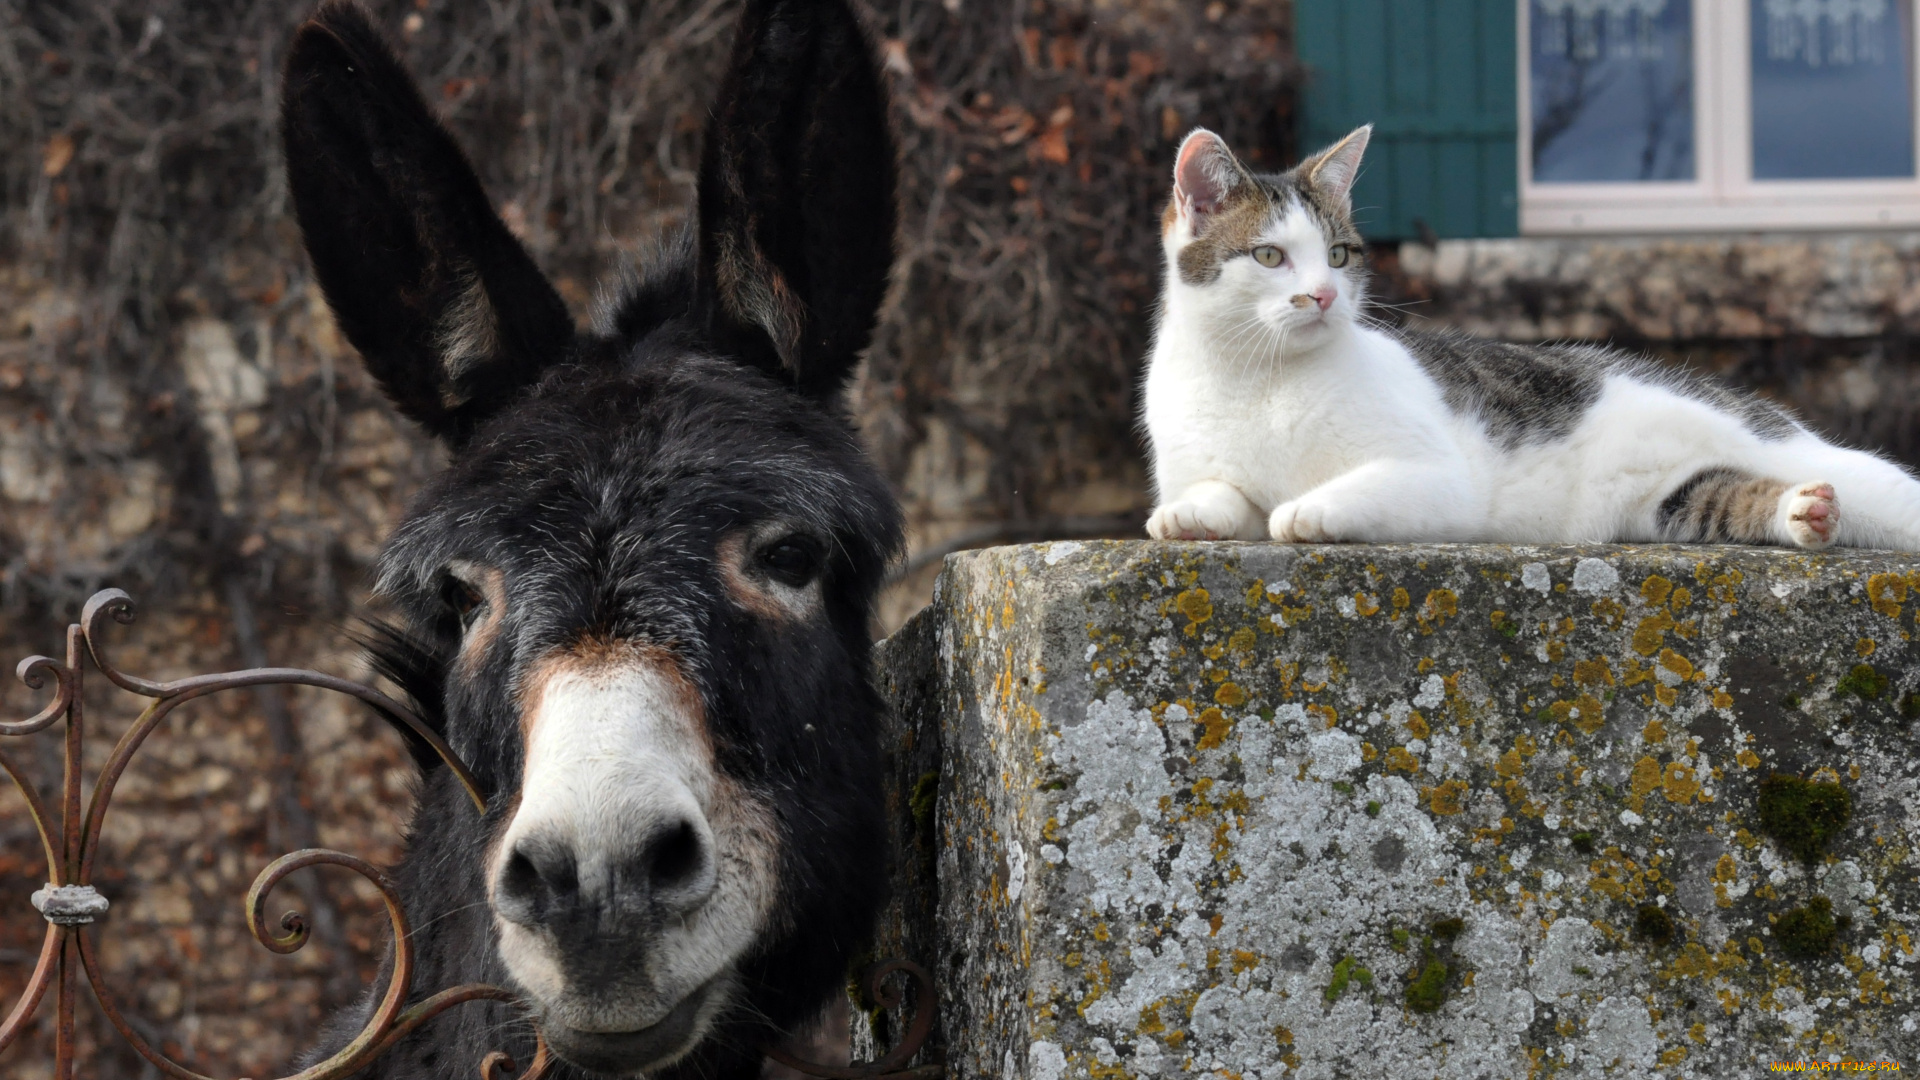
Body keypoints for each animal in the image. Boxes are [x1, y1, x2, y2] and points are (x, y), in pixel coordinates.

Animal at [1136, 122, 1920, 549]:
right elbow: (1220, 493)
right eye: (1270, 256)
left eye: (1338, 255)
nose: (1324, 295)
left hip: (1801, 452)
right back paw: (1804, 513)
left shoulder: (1440, 477)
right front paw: (1188, 514)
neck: (1256, 376)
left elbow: (1344, 490)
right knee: (1728, 499)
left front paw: (1306, 508)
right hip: (1666, 505)